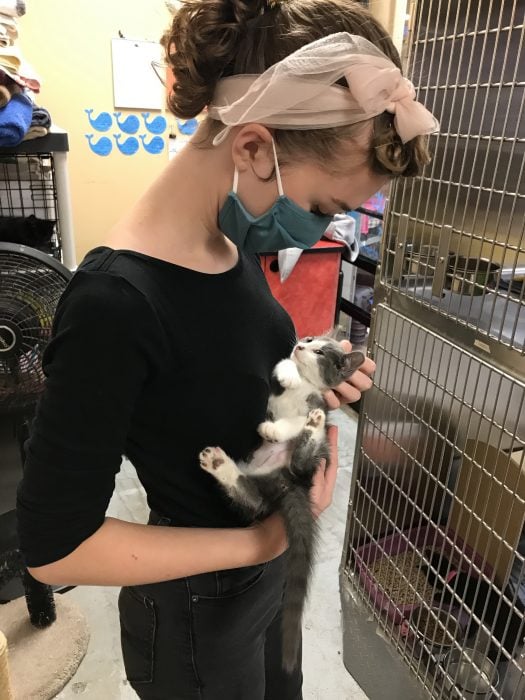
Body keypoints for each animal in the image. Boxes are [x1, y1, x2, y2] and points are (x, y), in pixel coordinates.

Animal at [199, 334, 366, 672]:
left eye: (320, 351)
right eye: (310, 339)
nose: (301, 344)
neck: (306, 386)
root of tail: (289, 483)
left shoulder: (318, 401)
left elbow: (296, 421)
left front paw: (277, 428)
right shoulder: (276, 390)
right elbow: (281, 367)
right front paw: (289, 372)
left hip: (310, 462)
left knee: (305, 454)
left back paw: (312, 428)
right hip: (262, 482)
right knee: (249, 497)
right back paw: (220, 464)